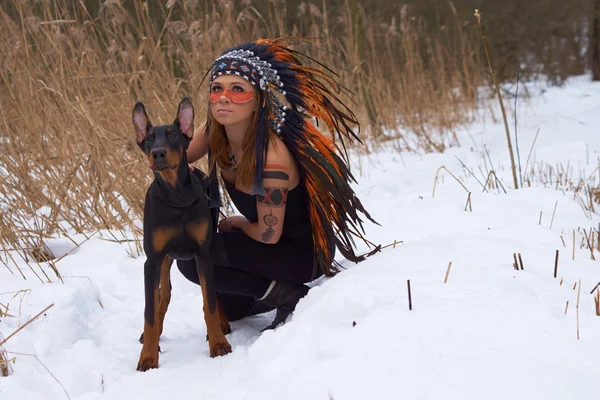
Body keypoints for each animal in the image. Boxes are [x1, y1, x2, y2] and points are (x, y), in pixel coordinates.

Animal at [131, 97, 232, 372]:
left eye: (173, 135)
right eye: (149, 139)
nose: (158, 153)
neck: (176, 197)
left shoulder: (203, 253)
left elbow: (209, 301)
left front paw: (218, 343)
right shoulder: (152, 260)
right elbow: (149, 312)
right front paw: (148, 356)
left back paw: (222, 323)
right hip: (165, 260)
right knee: (164, 293)